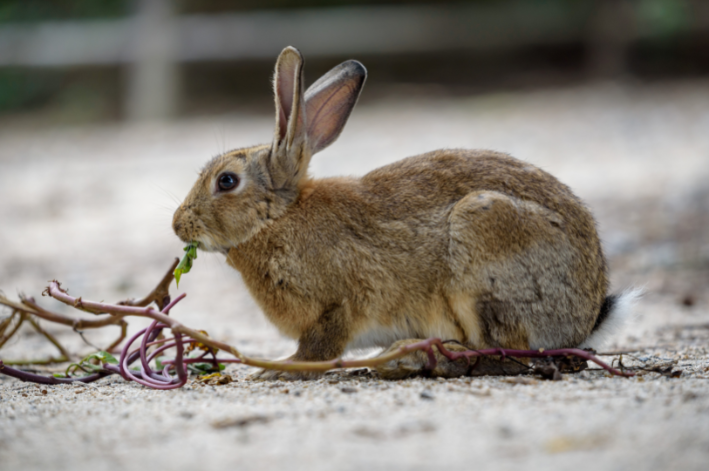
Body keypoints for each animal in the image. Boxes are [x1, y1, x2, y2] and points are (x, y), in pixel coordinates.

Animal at [173, 46, 636, 382]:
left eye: (226, 181)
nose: (178, 225)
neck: (277, 219)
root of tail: (586, 315)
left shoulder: (339, 304)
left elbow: (319, 348)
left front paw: (277, 370)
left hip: (481, 244)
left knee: (506, 353)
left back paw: (409, 360)